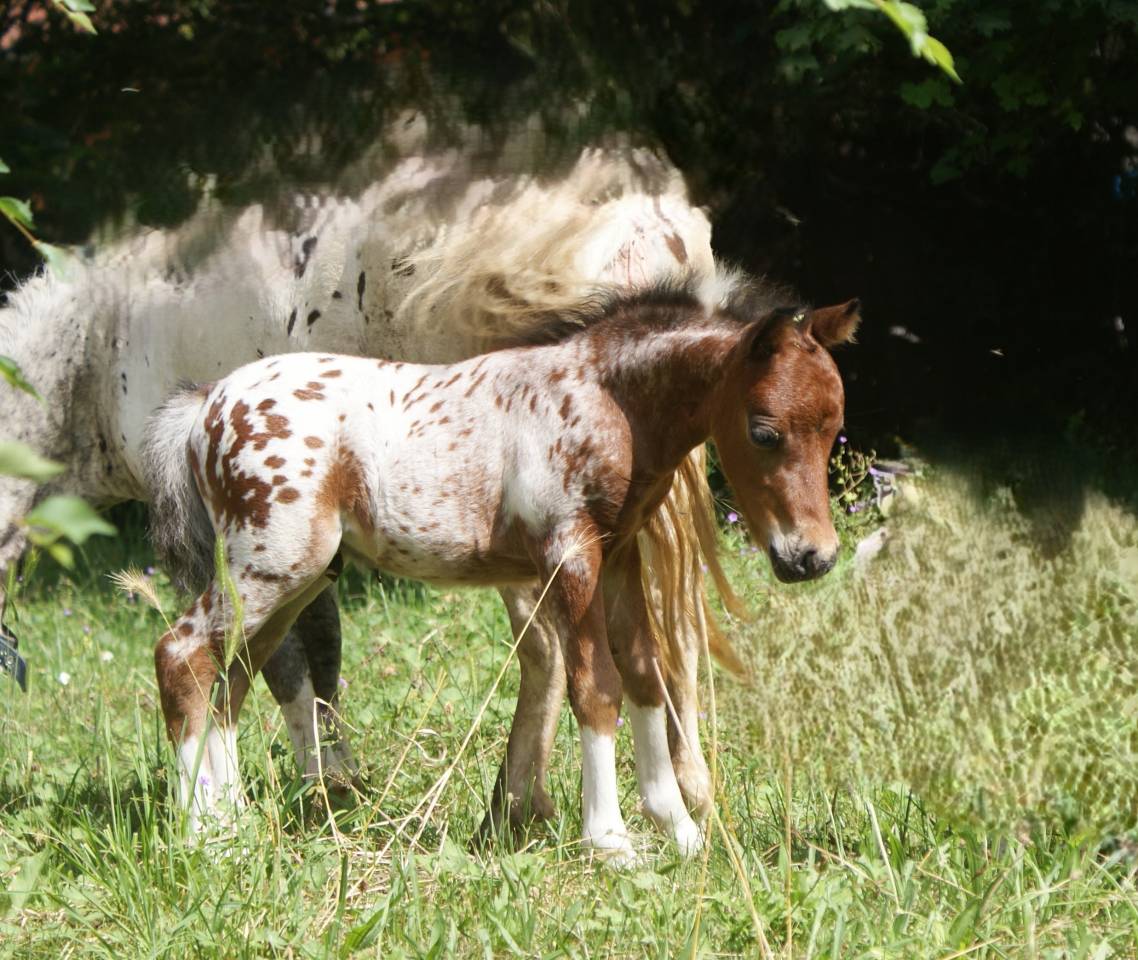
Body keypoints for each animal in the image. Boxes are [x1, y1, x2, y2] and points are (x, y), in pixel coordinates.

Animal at [0, 144, 743, 830]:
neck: (101, 348)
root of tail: (648, 222)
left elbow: (285, 665)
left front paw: (302, 792)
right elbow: (294, 658)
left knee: (555, 646)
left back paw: (526, 804)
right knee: (663, 632)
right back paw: (662, 795)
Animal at [141, 270, 860, 861]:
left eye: (833, 427)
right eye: (764, 431)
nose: (811, 557)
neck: (606, 400)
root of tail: (206, 401)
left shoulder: (619, 556)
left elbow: (643, 675)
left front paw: (679, 832)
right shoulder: (570, 557)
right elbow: (595, 687)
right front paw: (611, 841)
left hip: (297, 577)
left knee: (229, 680)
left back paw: (231, 825)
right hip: (273, 564)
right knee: (182, 656)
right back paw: (201, 837)